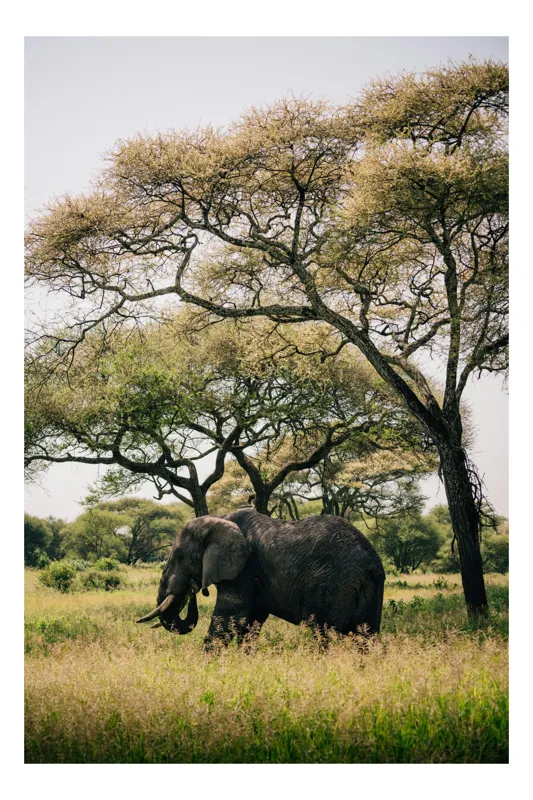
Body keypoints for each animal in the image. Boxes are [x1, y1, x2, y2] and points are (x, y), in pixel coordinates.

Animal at [136, 508, 385, 647]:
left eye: (179, 557)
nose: (193, 588)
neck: (220, 519)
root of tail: (370, 563)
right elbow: (251, 623)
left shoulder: (244, 570)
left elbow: (227, 620)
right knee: (367, 637)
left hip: (333, 587)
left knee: (325, 634)